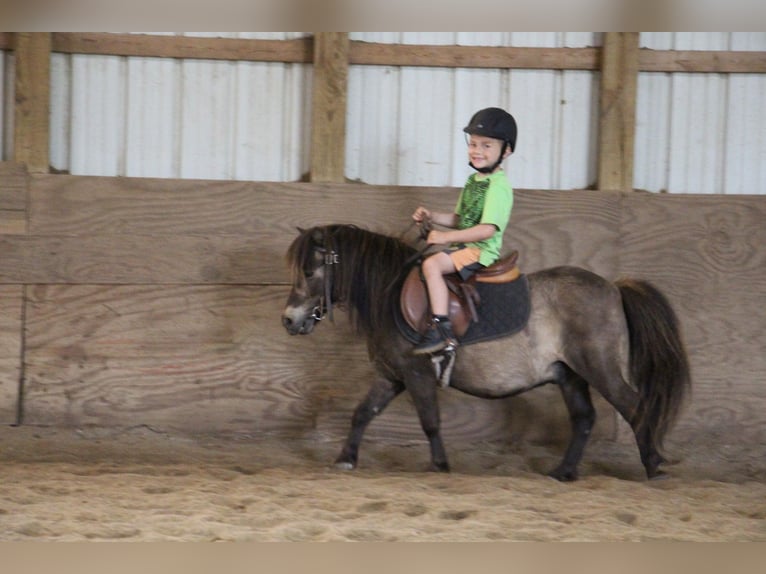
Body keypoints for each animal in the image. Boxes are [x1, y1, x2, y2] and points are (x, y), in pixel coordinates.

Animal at [284, 225, 696, 482]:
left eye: (310, 271)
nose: (289, 320)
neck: (390, 295)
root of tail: (613, 287)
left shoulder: (416, 374)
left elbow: (430, 421)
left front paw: (440, 464)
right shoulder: (392, 375)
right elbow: (362, 413)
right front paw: (345, 459)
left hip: (602, 369)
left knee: (635, 407)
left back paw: (654, 467)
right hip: (570, 374)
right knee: (584, 419)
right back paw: (563, 472)